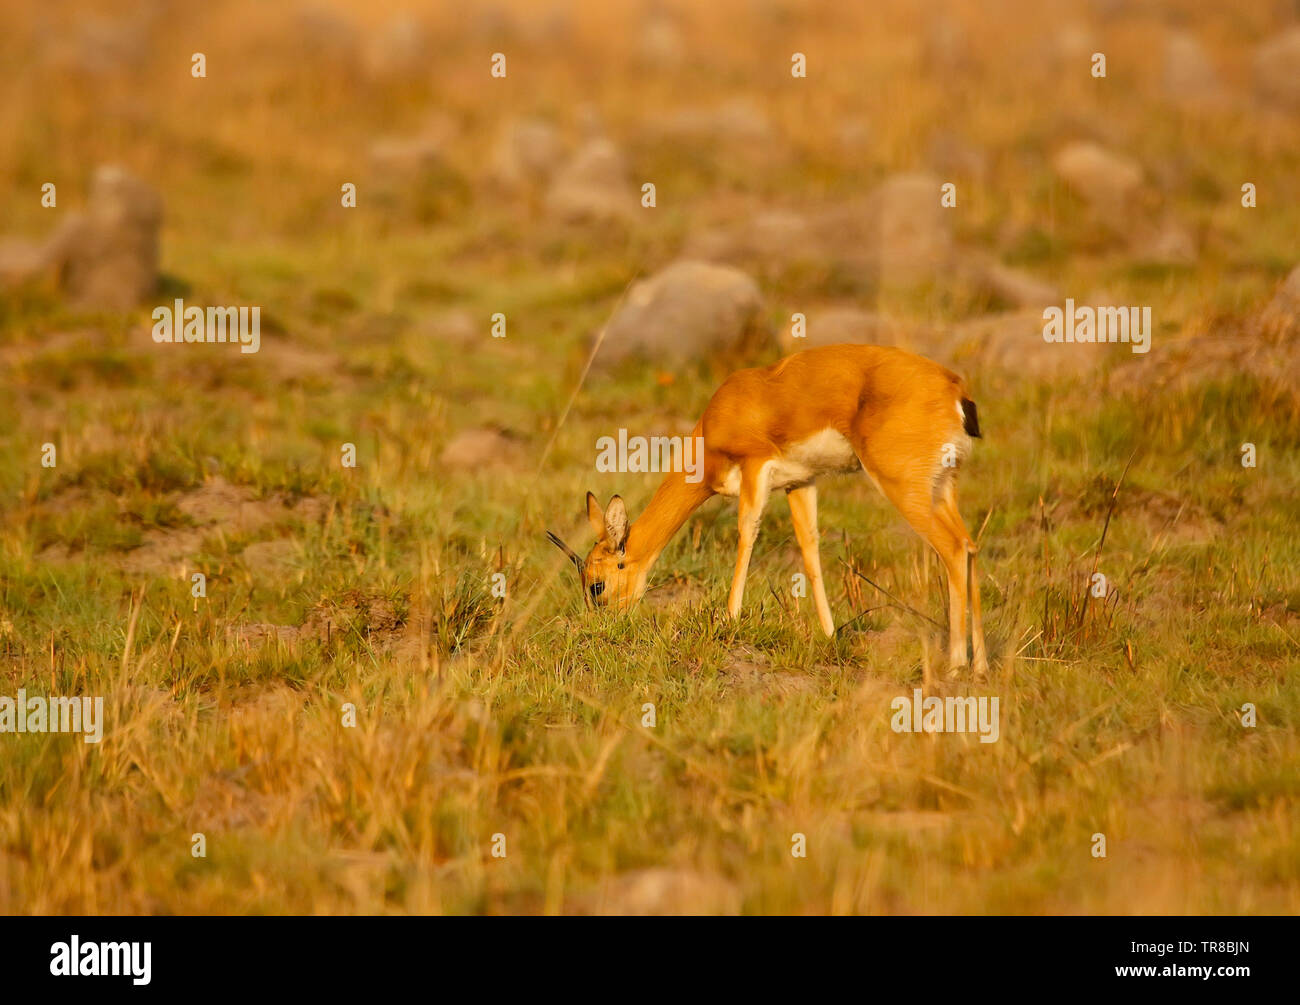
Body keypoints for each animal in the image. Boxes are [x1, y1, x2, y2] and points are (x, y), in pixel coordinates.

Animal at [543, 343, 987, 676]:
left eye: (597, 585)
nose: (603, 628)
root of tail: (954, 389)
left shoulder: (756, 469)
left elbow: (747, 534)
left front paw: (729, 618)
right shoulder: (799, 482)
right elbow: (810, 551)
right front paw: (829, 634)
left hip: (905, 488)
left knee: (952, 548)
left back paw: (954, 665)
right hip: (943, 489)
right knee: (969, 545)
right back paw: (980, 666)